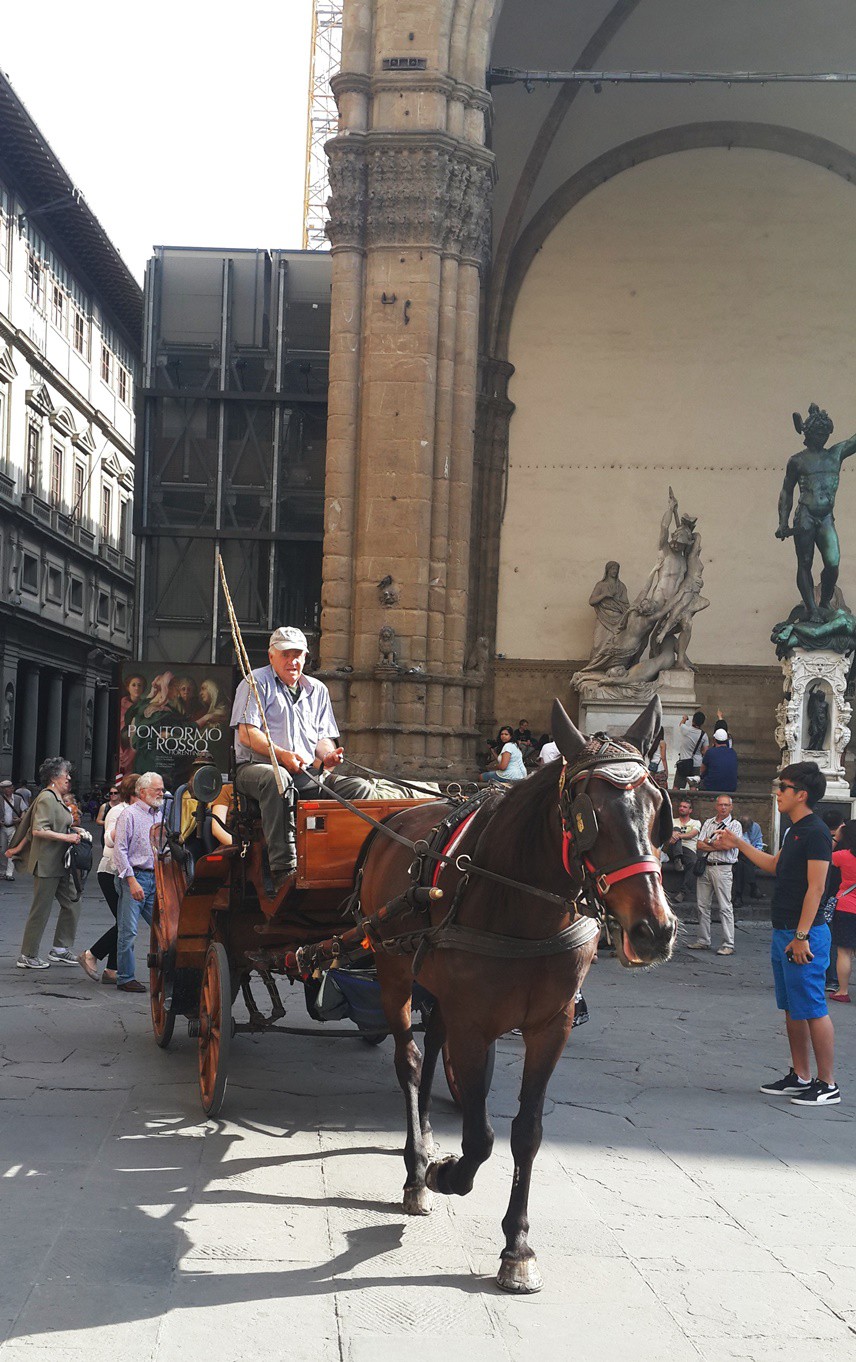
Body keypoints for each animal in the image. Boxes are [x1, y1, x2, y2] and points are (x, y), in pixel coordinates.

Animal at [359, 697, 676, 1291]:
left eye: (656, 809)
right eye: (589, 815)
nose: (654, 930)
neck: (524, 904)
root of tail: (396, 816)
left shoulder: (551, 1025)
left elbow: (527, 1131)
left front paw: (518, 1245)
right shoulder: (475, 1023)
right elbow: (481, 1136)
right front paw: (447, 1176)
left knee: (431, 1047)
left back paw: (427, 1141)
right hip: (392, 968)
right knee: (408, 1059)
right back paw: (416, 1169)